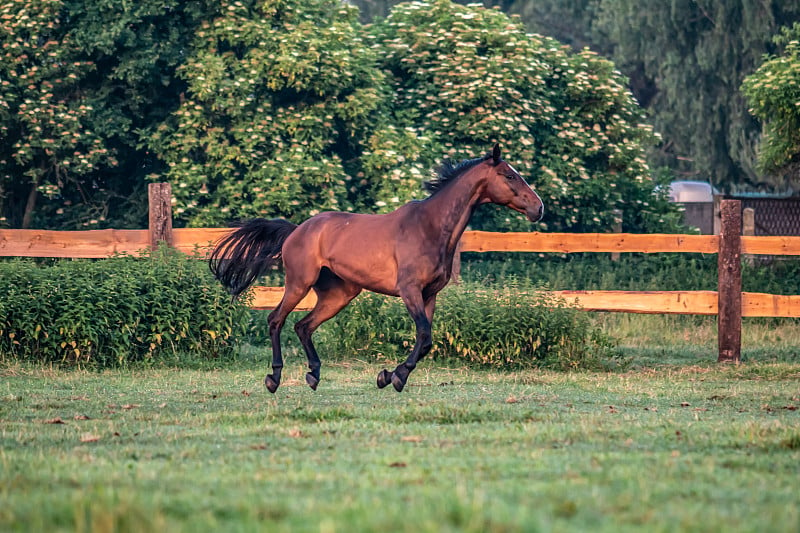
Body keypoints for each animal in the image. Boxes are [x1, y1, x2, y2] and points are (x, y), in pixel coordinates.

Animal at [209, 143, 544, 392]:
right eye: (509, 176)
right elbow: (424, 334)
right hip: (299, 283)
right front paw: (393, 377)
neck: (430, 227)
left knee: (303, 326)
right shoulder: (409, 291)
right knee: (276, 320)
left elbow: (426, 340)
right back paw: (274, 378)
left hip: (339, 294)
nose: (538, 208)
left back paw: (314, 375)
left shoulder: (430, 294)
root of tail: (296, 230)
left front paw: (389, 376)